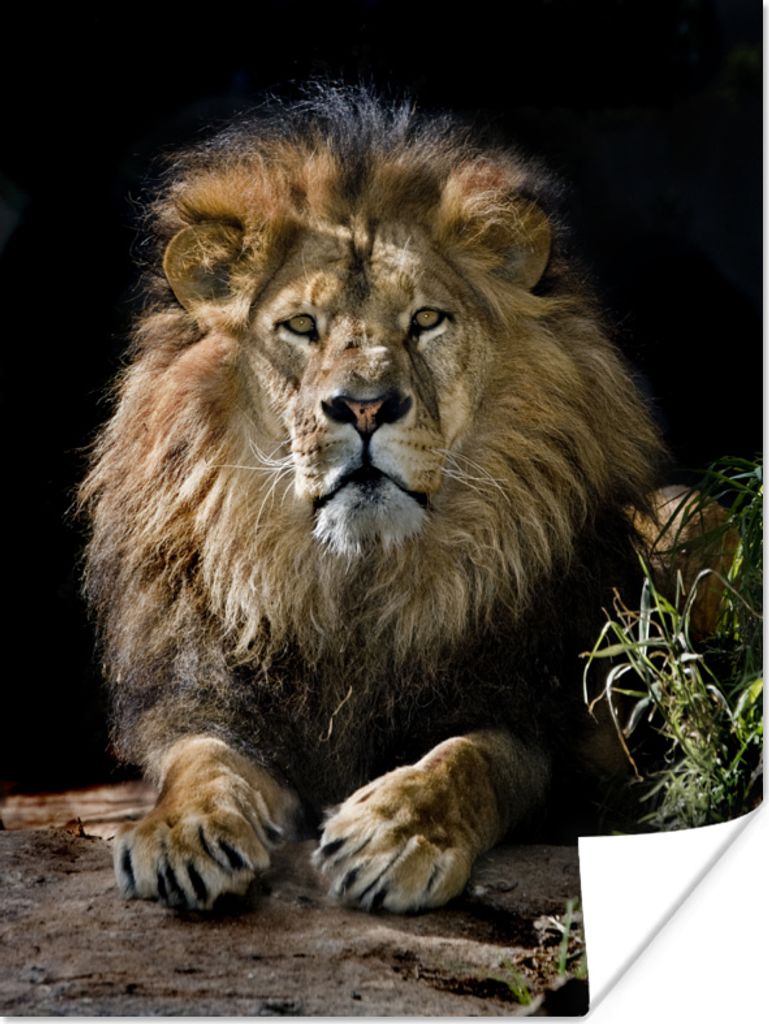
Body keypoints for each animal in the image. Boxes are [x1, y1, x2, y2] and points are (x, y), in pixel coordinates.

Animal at [79, 86, 664, 914]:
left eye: (425, 320)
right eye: (300, 326)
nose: (362, 407)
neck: (353, 583)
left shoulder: (533, 720)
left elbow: (466, 760)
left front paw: (395, 834)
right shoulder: (206, 698)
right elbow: (203, 759)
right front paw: (183, 831)